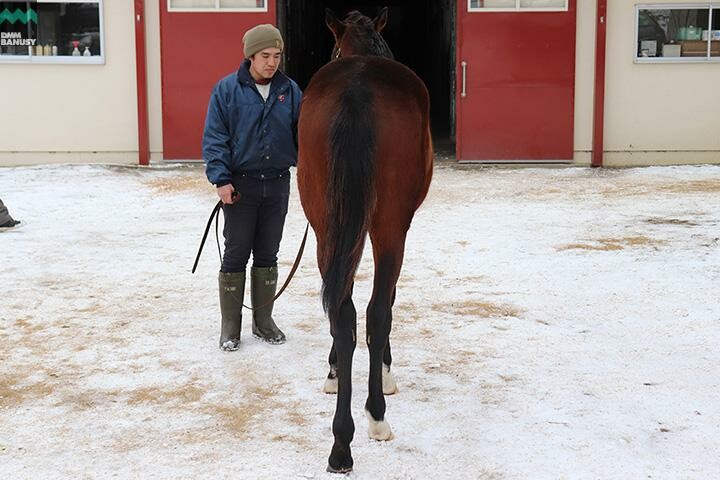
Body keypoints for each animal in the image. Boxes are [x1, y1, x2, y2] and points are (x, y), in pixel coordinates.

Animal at [298, 7, 434, 472]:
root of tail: (357, 89)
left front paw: (334, 371)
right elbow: (386, 303)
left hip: (326, 227)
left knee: (343, 312)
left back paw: (341, 444)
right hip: (390, 226)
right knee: (375, 312)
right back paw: (375, 415)